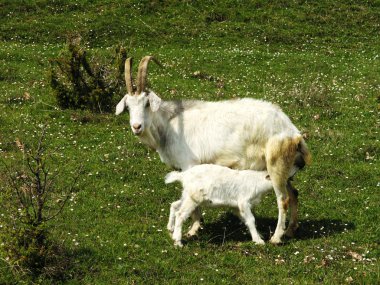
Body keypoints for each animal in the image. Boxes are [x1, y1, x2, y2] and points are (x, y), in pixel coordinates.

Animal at [115, 56, 308, 244]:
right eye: (128, 106)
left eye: (147, 104)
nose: (137, 126)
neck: (170, 124)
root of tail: (293, 132)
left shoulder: (189, 164)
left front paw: (193, 229)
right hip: (285, 168)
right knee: (294, 194)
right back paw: (290, 231)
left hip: (276, 164)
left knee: (283, 199)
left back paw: (276, 237)